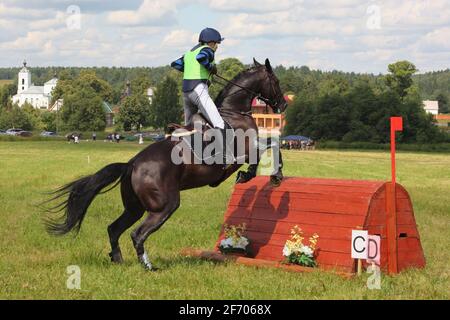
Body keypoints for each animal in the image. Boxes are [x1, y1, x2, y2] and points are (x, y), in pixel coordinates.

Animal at [45, 58, 288, 270]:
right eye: (276, 81)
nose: (284, 104)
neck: (233, 111)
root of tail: (131, 164)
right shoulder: (246, 150)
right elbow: (271, 145)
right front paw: (265, 175)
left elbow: (271, 145)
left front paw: (265, 175)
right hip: (164, 206)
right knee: (137, 234)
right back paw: (148, 266)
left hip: (135, 207)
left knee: (114, 229)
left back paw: (119, 261)